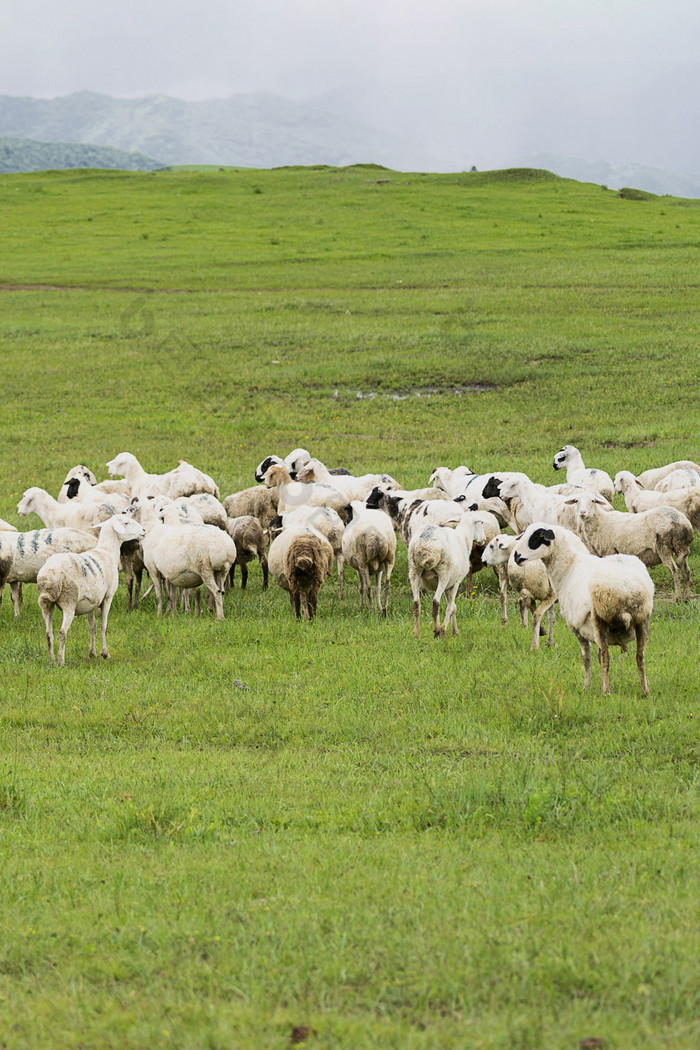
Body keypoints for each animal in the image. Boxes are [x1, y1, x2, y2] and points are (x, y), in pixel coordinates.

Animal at [36, 512, 146, 667]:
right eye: (126, 522)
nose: (143, 531)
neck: (107, 551)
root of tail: (50, 577)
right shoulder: (108, 596)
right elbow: (103, 625)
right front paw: (105, 653)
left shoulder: (90, 602)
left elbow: (92, 626)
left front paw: (92, 653)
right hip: (69, 602)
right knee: (62, 633)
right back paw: (61, 662)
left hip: (46, 604)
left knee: (48, 633)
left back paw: (52, 662)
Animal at [512, 520, 654, 692]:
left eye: (537, 537)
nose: (516, 556)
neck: (570, 567)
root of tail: (626, 589)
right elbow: (597, 657)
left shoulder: (577, 628)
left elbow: (587, 658)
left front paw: (587, 687)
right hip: (642, 620)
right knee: (640, 656)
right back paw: (644, 690)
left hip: (600, 620)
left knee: (606, 657)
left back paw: (606, 692)